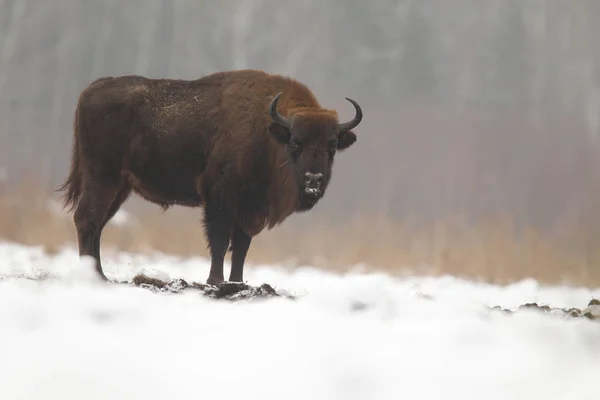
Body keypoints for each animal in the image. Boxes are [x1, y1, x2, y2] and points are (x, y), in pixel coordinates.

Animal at [58, 70, 364, 286]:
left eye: (332, 145)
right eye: (296, 143)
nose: (313, 179)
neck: (268, 132)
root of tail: (90, 91)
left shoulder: (250, 208)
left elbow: (241, 246)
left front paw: (237, 282)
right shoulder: (221, 196)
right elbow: (219, 240)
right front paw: (215, 280)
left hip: (120, 186)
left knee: (98, 225)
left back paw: (99, 274)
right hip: (102, 177)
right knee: (87, 219)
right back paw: (95, 277)